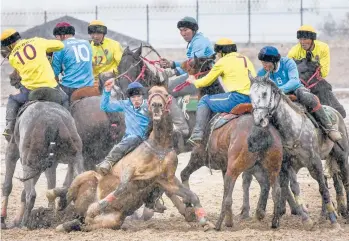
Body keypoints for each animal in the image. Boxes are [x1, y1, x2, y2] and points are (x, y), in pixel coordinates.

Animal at [1, 89, 84, 229]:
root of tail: (51, 122)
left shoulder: (13, 151)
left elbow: (8, 184)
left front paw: (3, 219)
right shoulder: (48, 164)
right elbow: (51, 184)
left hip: (29, 162)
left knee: (31, 194)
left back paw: (25, 222)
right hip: (75, 155)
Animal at [51, 86, 212, 232]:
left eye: (165, 94)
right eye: (151, 93)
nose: (156, 105)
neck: (159, 147)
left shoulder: (166, 180)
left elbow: (192, 196)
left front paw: (204, 221)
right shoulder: (129, 169)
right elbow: (120, 189)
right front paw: (96, 207)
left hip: (112, 221)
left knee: (83, 223)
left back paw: (67, 223)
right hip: (87, 176)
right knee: (68, 193)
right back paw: (57, 201)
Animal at [247, 71, 348, 228]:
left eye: (264, 93)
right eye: (250, 95)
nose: (259, 120)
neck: (291, 129)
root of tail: (335, 112)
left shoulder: (315, 162)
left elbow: (323, 189)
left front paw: (333, 221)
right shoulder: (288, 165)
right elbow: (294, 188)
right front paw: (306, 220)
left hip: (341, 156)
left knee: (343, 179)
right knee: (330, 180)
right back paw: (324, 215)